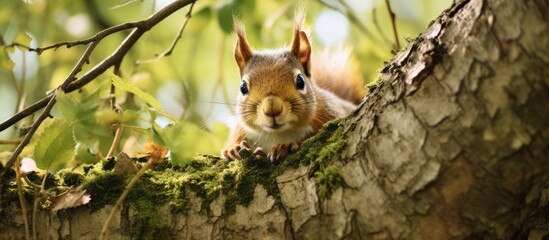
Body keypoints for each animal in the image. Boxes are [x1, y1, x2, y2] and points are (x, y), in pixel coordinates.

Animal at [220, 14, 362, 162]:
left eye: (300, 81)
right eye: (243, 87)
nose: (272, 109)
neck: (278, 134)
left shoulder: (331, 113)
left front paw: (285, 146)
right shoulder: (241, 128)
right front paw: (233, 148)